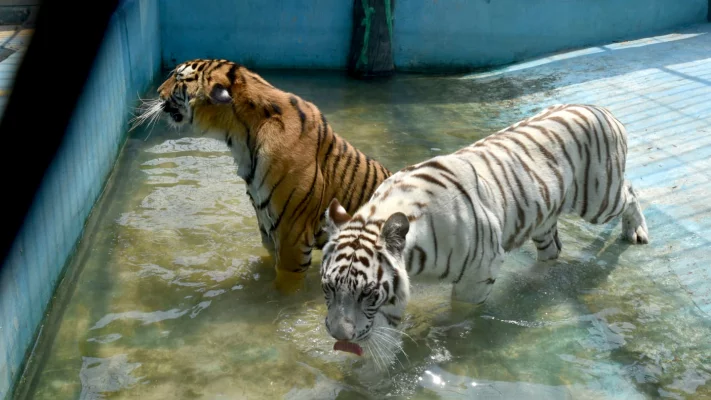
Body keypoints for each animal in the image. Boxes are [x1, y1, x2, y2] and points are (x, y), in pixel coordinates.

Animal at [131, 58, 392, 290]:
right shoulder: (267, 226)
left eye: (178, 77)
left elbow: (283, 291)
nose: (158, 92)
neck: (240, 135)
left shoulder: (293, 238)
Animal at [322, 104, 652, 358]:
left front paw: (449, 334)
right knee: (552, 251)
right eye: (329, 288)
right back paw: (530, 281)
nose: (339, 336)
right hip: (544, 217)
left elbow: (460, 311)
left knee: (630, 192)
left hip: (598, 200)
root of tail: (605, 111)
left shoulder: (479, 271)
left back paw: (636, 231)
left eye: (368, 293)